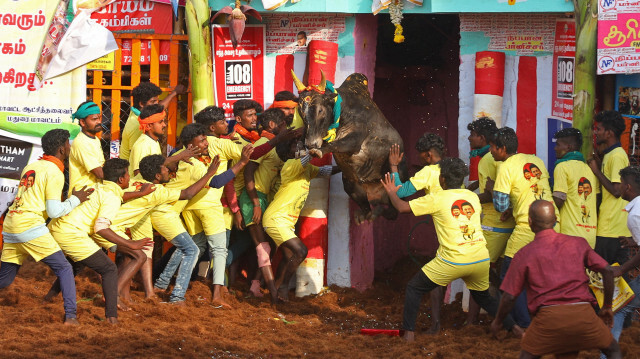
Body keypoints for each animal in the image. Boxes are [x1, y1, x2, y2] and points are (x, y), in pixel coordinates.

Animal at [292, 70, 408, 225]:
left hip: (397, 192)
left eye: (320, 110)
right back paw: (363, 216)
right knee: (369, 210)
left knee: (392, 212)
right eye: (301, 112)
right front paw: (300, 149)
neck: (343, 111)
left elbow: (337, 144)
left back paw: (376, 212)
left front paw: (318, 151)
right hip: (352, 188)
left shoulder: (355, 139)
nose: (311, 144)